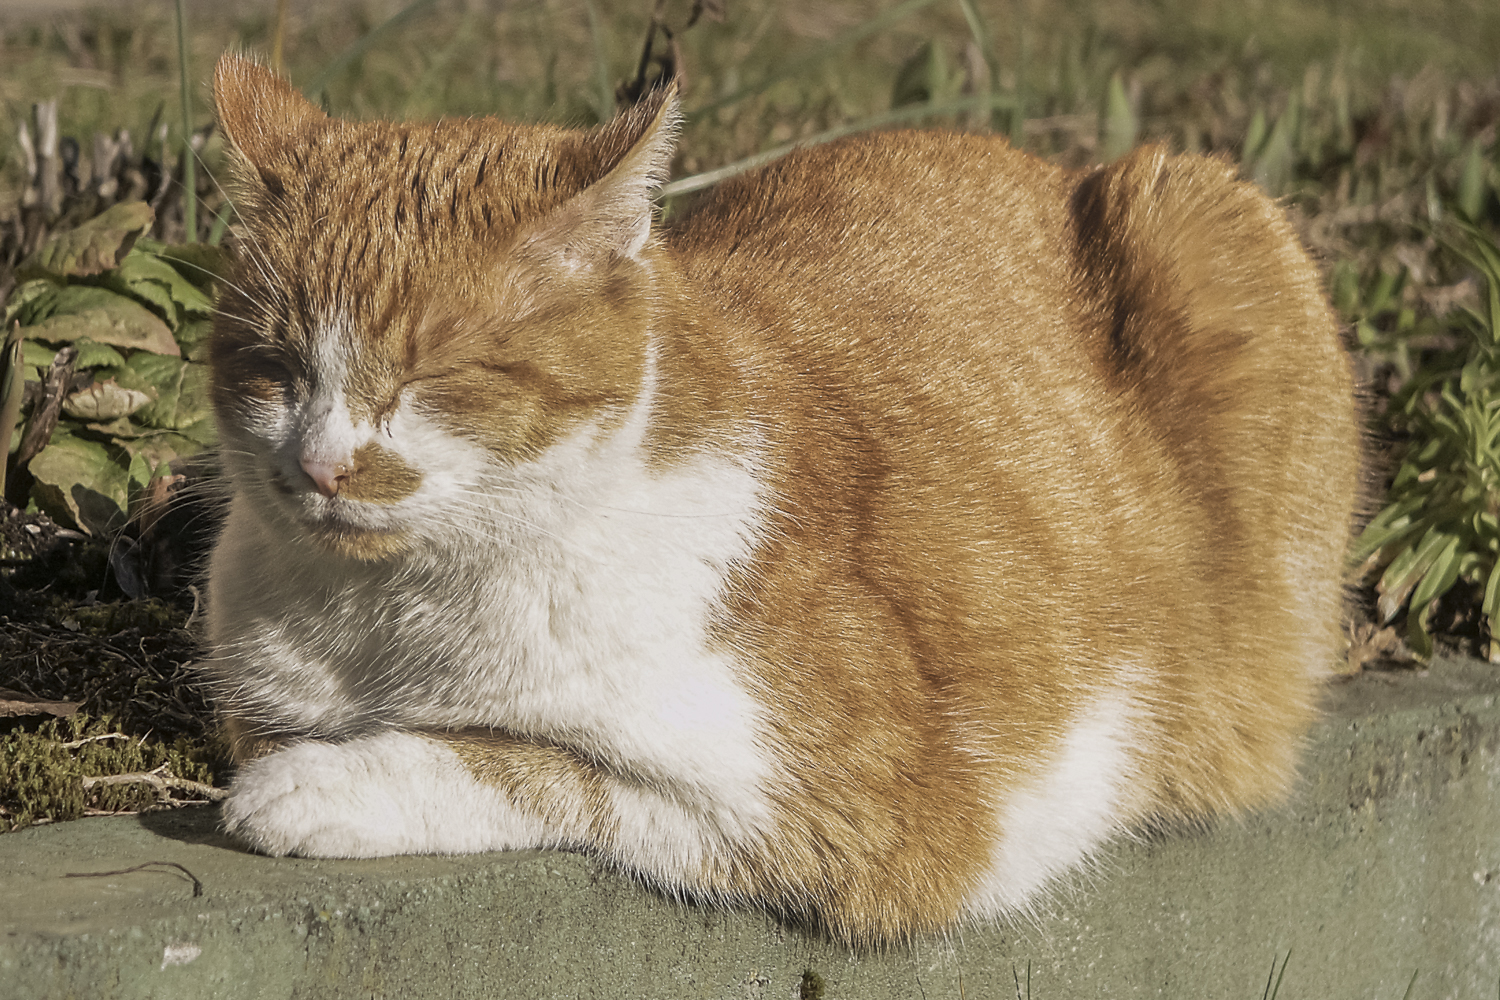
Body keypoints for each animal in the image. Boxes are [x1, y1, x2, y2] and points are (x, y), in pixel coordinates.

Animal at [199, 54, 1362, 947]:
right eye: (276, 368)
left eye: (429, 377)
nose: (323, 467)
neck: (390, 623)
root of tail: (1047, 161)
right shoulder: (251, 692)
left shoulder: (867, 814)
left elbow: (534, 765)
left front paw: (323, 786)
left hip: (1200, 211)